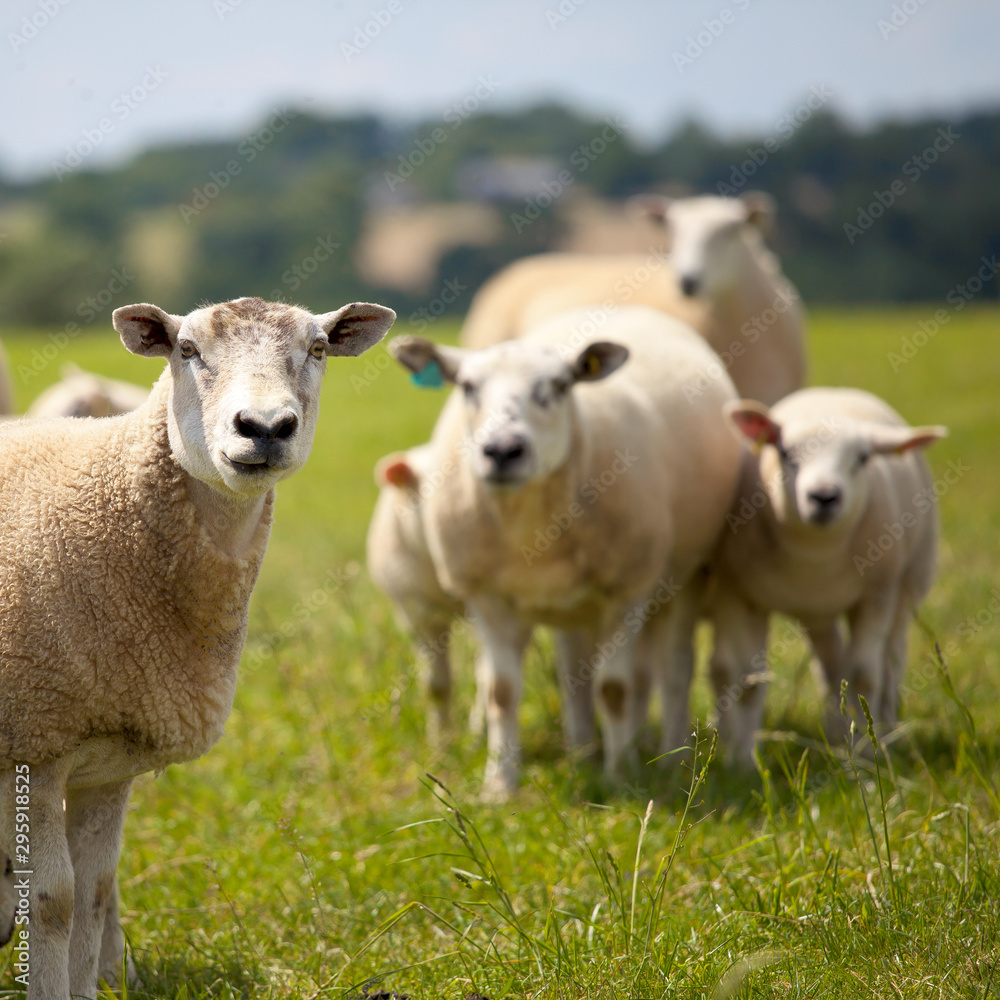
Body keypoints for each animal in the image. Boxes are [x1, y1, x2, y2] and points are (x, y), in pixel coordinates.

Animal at [0, 295, 395, 1000]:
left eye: (319, 348)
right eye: (187, 349)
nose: (264, 427)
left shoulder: (108, 758)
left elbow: (93, 893)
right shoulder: (36, 740)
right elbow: (52, 901)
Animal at [390, 306, 743, 798]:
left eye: (559, 386)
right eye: (467, 386)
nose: (503, 451)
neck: (528, 525)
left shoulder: (626, 592)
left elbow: (616, 688)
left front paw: (620, 778)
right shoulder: (486, 596)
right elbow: (502, 690)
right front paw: (500, 786)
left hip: (686, 575)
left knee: (673, 670)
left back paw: (672, 759)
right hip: (571, 607)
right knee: (574, 672)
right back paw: (582, 751)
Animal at [707, 388, 946, 765]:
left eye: (862, 458)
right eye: (785, 453)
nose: (824, 497)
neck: (815, 555)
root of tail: (834, 392)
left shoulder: (876, 594)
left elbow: (864, 676)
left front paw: (866, 756)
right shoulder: (738, 595)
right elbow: (748, 683)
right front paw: (741, 762)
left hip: (909, 583)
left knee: (890, 661)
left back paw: (887, 731)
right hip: (816, 612)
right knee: (832, 662)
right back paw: (837, 732)